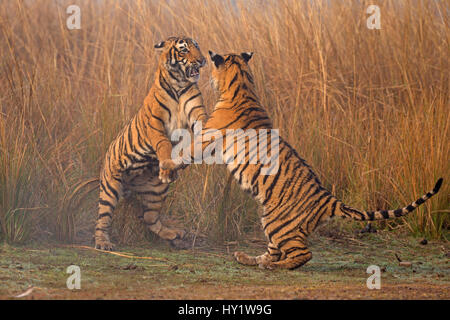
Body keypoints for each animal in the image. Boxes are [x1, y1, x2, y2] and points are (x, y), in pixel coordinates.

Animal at [96, 37, 208, 250]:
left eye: (197, 47)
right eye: (184, 50)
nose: (202, 60)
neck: (179, 84)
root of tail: (131, 185)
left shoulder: (197, 113)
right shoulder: (156, 124)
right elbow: (163, 144)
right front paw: (167, 164)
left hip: (157, 192)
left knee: (149, 219)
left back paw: (174, 234)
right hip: (110, 187)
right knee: (103, 219)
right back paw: (103, 242)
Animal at [163, 50, 444, 270]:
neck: (242, 83)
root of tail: (329, 199)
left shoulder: (206, 138)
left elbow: (186, 151)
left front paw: (166, 166)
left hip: (278, 222)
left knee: (302, 253)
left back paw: (272, 265)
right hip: (270, 220)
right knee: (274, 250)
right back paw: (248, 258)